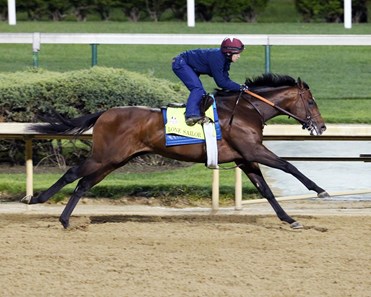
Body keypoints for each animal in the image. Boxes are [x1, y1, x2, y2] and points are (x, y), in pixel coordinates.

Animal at [21, 73, 330, 228]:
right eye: (311, 102)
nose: (322, 126)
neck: (246, 109)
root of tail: (105, 113)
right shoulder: (253, 150)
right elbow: (289, 165)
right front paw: (320, 190)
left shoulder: (244, 158)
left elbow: (266, 190)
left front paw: (289, 219)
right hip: (105, 156)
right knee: (73, 173)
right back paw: (37, 200)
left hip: (114, 160)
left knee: (84, 183)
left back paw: (65, 219)